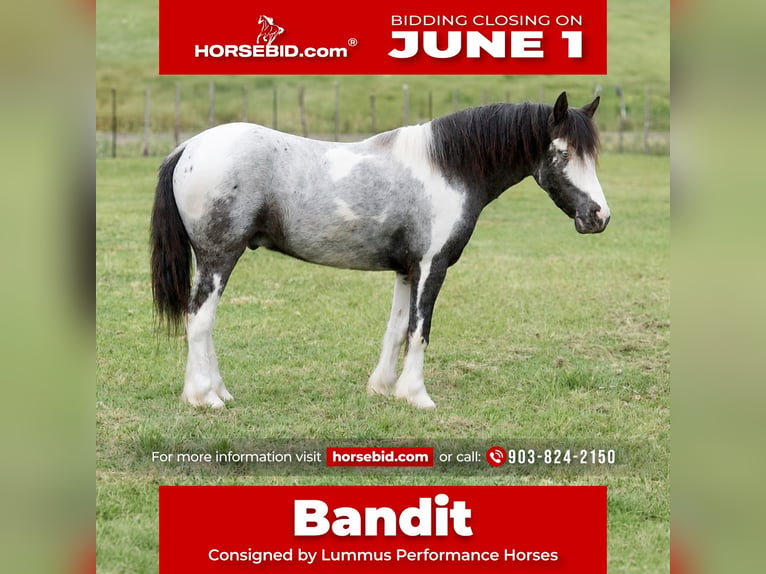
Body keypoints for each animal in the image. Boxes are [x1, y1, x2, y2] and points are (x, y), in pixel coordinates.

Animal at [150, 91, 610, 410]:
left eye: (592, 155)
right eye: (562, 153)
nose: (599, 216)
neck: (447, 169)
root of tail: (189, 148)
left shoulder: (407, 269)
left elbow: (397, 327)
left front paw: (385, 389)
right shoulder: (432, 266)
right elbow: (420, 331)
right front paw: (417, 396)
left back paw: (218, 391)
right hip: (219, 257)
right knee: (200, 319)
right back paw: (204, 397)